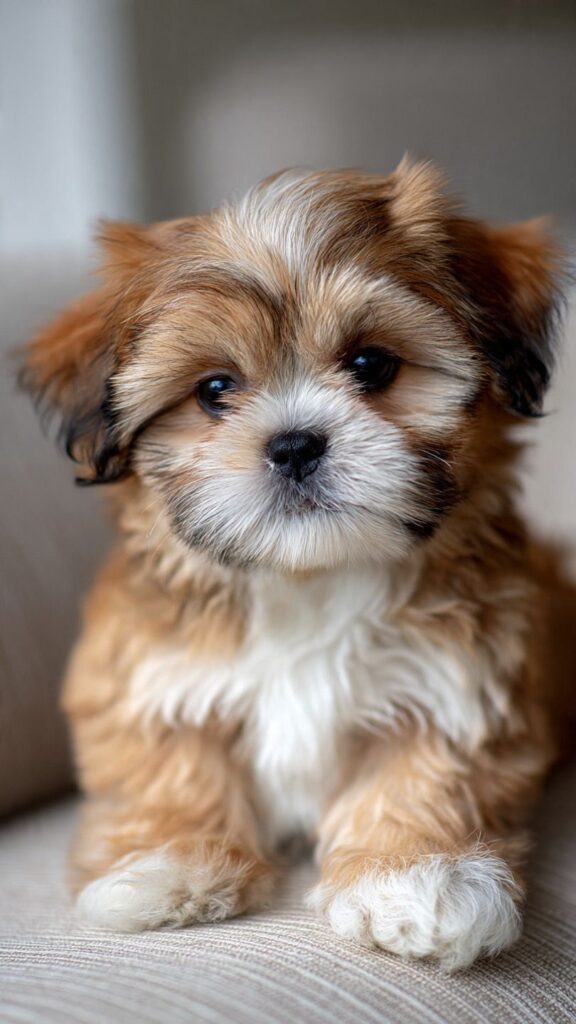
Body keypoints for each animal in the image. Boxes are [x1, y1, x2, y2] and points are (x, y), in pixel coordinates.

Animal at [21, 159, 574, 970]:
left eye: (371, 364)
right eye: (214, 390)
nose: (294, 444)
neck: (304, 578)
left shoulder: (462, 678)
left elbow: (429, 773)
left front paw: (416, 879)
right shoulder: (147, 674)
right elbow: (170, 765)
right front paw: (165, 864)